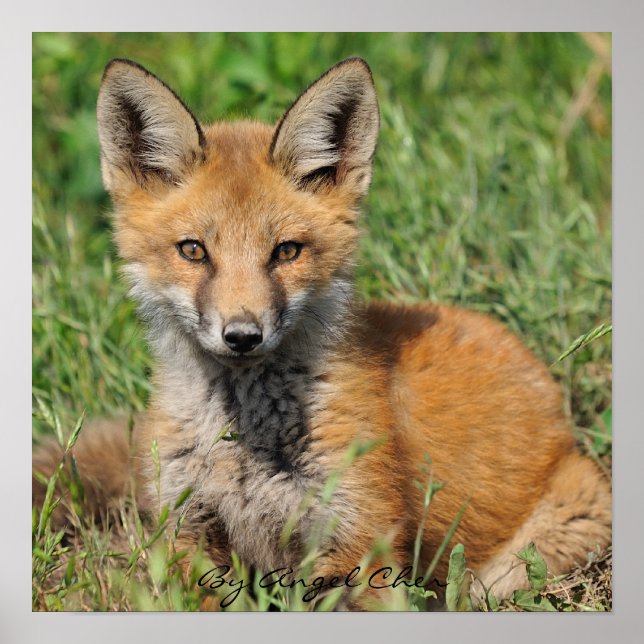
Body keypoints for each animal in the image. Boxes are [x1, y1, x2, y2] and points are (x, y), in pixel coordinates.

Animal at [33, 57, 611, 610]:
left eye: (286, 251)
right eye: (193, 250)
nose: (242, 335)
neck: (243, 454)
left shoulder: (360, 544)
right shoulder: (187, 530)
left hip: (546, 539)